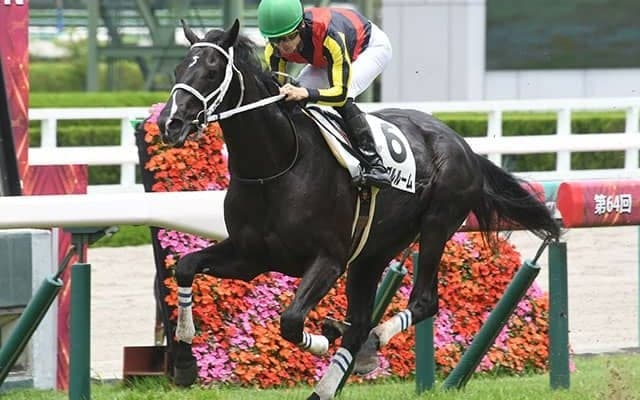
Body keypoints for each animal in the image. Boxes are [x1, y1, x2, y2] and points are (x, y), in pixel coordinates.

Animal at [156, 19, 560, 400]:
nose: (169, 123)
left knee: (419, 302)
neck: (277, 165)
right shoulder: (250, 257)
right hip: (372, 253)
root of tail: (464, 145)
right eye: (177, 69)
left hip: (435, 225)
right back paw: (335, 370)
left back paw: (369, 341)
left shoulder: (329, 259)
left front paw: (320, 340)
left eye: (211, 71)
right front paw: (184, 362)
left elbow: (291, 320)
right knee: (361, 321)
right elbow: (186, 267)